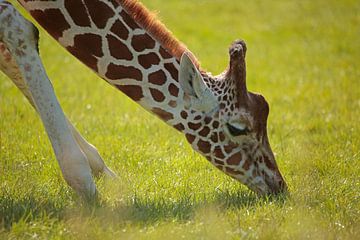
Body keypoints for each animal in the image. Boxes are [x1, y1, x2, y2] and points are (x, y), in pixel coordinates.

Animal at [0, 0, 286, 199]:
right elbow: (20, 29)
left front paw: (104, 174)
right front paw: (84, 183)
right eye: (238, 128)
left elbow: (8, 54)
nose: (279, 186)